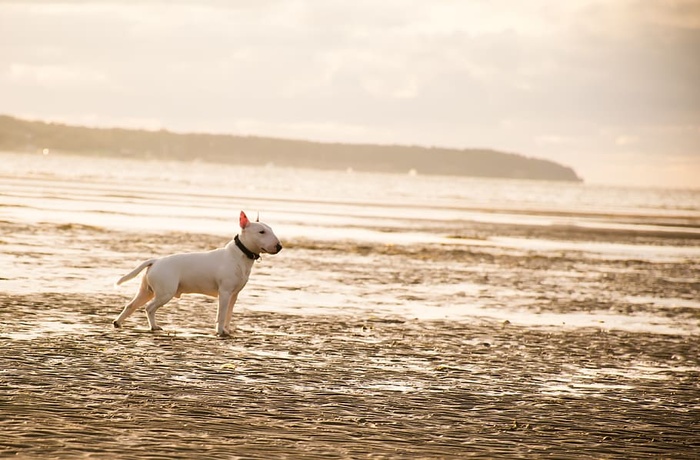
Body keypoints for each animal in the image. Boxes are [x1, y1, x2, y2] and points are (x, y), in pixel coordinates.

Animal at [112, 210, 282, 336]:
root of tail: (155, 261)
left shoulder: (234, 295)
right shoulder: (225, 292)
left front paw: (227, 330)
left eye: (271, 230)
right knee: (149, 308)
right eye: (261, 232)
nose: (279, 246)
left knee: (131, 305)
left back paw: (118, 323)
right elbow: (221, 314)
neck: (239, 254)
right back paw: (154, 327)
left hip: (147, 291)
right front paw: (220, 332)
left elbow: (229, 313)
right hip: (165, 292)